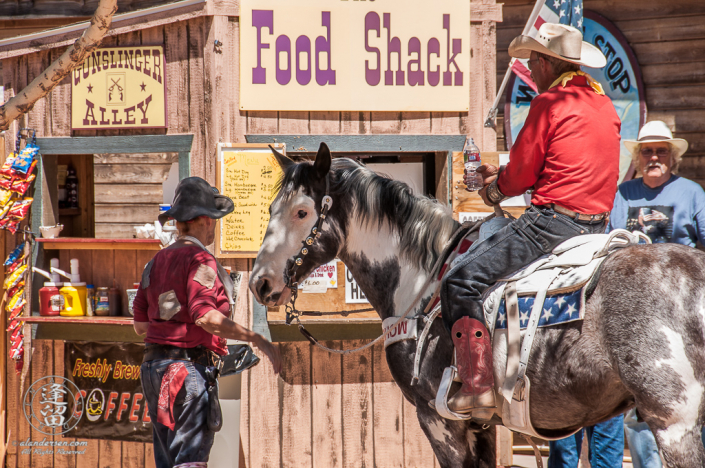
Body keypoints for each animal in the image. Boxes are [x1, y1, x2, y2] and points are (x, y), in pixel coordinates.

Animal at [249, 144, 704, 468]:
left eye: (302, 211)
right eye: (270, 209)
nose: (260, 283)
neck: (425, 278)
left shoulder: (440, 421)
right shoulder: (481, 424)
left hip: (674, 421)